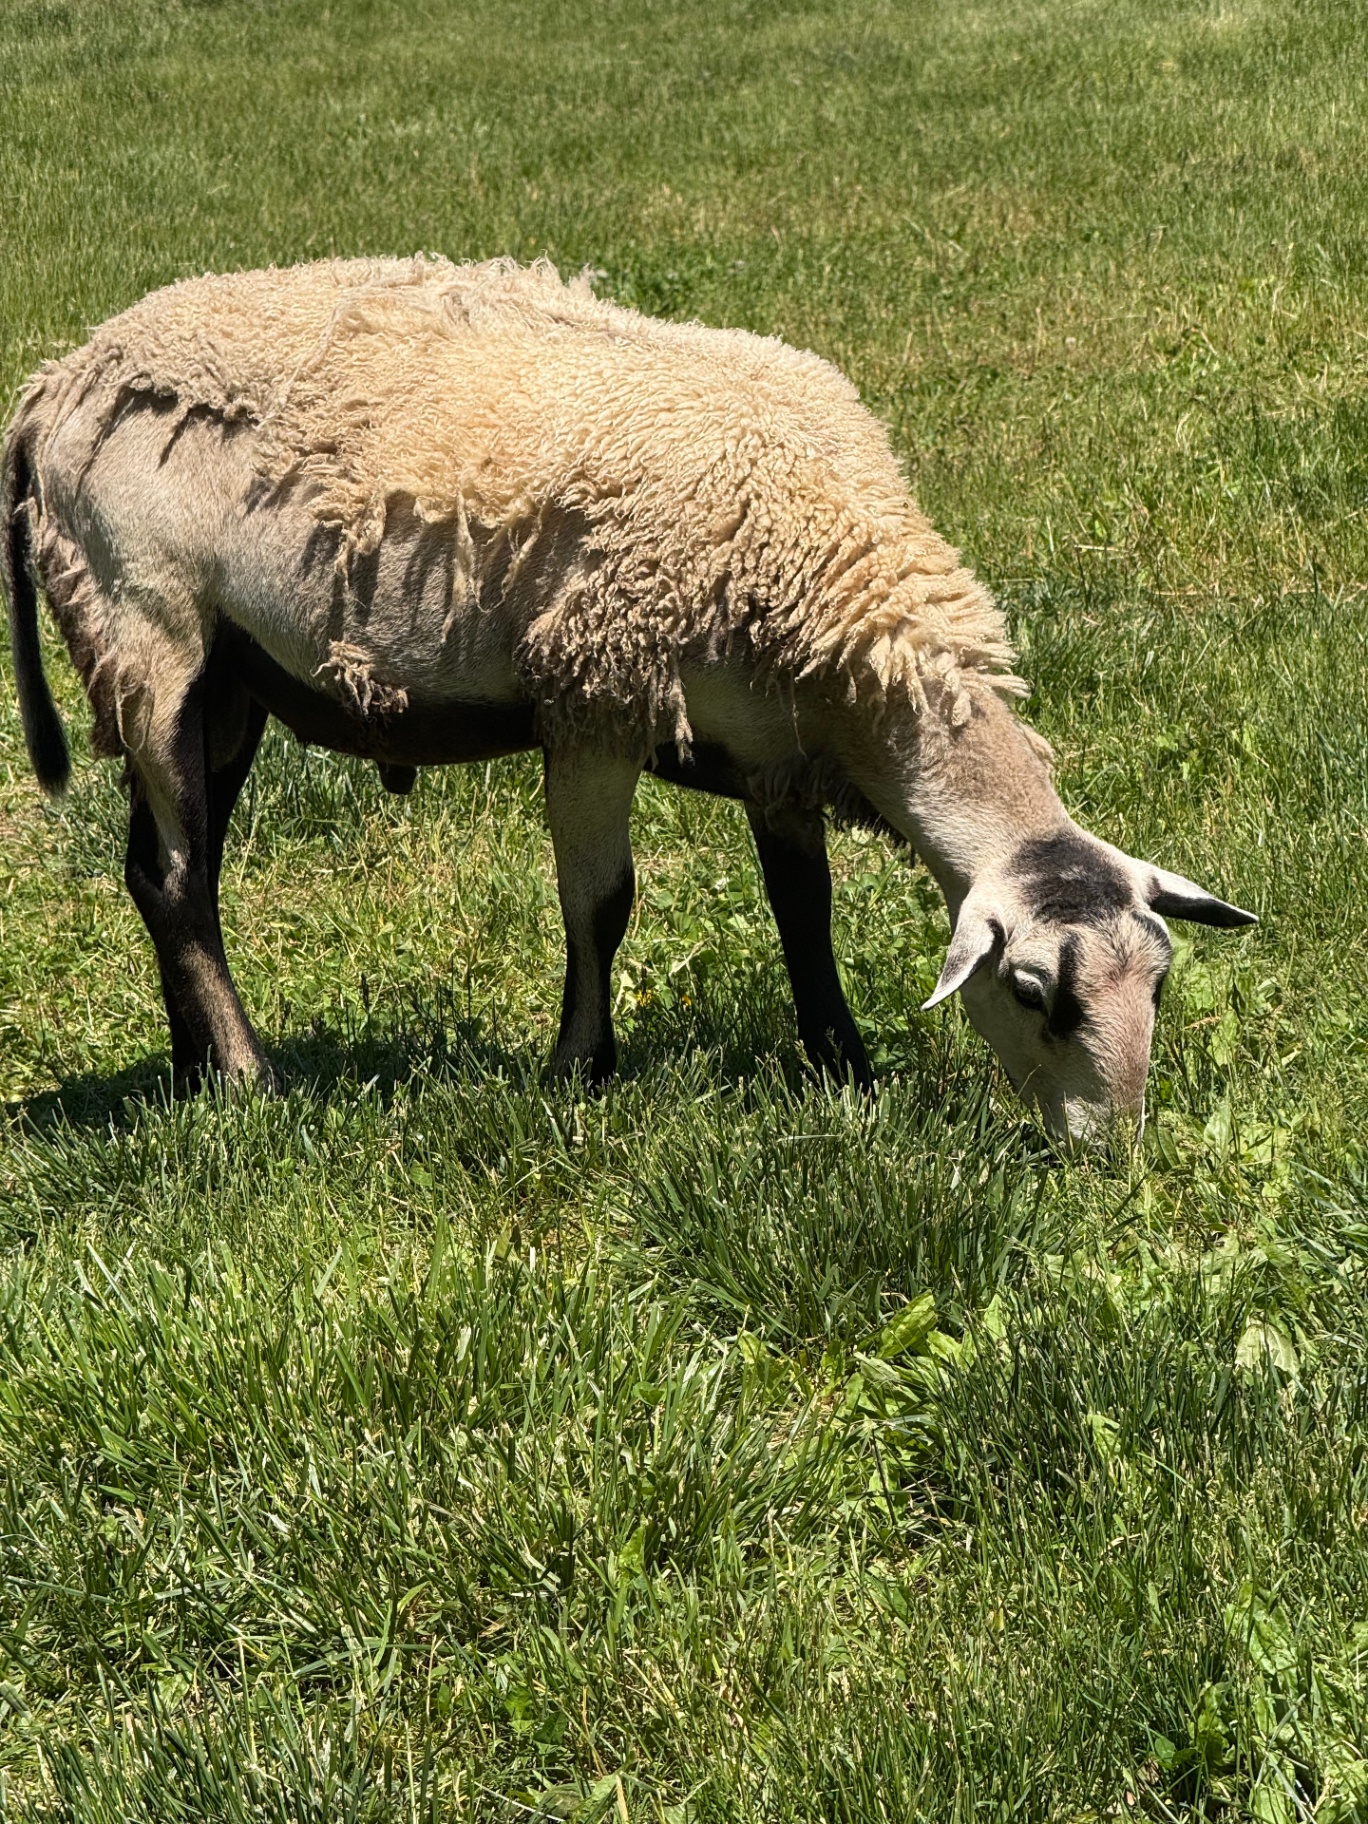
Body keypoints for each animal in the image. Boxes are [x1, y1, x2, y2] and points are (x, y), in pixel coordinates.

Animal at [1, 255, 1255, 1140]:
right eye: (1036, 992)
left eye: (1160, 979)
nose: (1111, 1156)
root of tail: (61, 381)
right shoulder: (593, 699)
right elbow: (600, 906)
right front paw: (579, 1075)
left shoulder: (777, 749)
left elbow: (805, 911)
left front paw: (842, 1066)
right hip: (146, 626)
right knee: (177, 877)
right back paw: (249, 1080)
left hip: (227, 679)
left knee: (168, 872)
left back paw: (191, 1071)